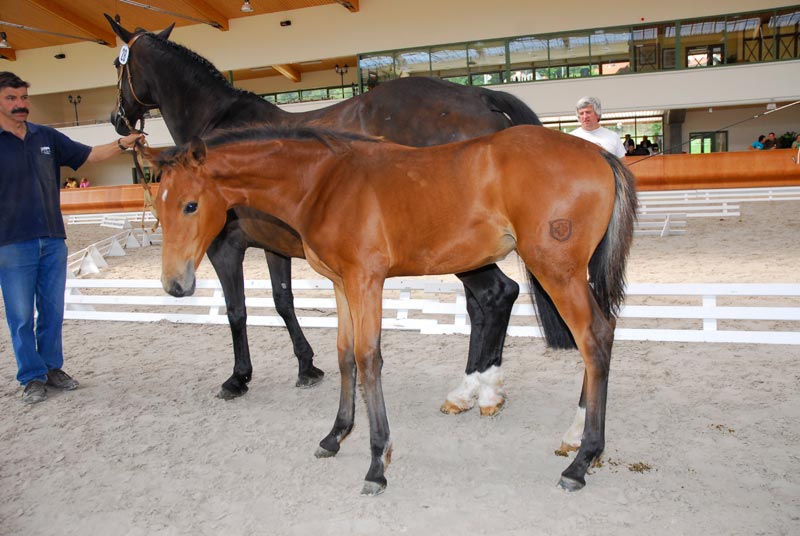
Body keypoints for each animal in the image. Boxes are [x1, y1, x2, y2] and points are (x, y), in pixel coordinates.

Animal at [106, 15, 566, 417]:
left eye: (116, 63)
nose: (117, 119)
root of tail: (478, 95)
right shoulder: (274, 246)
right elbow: (283, 302)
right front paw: (307, 365)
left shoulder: (225, 246)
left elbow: (237, 310)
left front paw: (238, 378)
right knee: (482, 304)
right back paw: (475, 388)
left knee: (496, 295)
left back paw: (479, 391)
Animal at [150, 125, 638, 494]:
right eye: (157, 208)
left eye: (191, 205)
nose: (176, 285)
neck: (324, 183)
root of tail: (599, 154)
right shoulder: (341, 284)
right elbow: (345, 356)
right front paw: (335, 436)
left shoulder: (366, 280)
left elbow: (369, 359)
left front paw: (376, 464)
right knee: (603, 334)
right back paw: (573, 438)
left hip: (556, 270)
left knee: (593, 339)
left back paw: (582, 460)